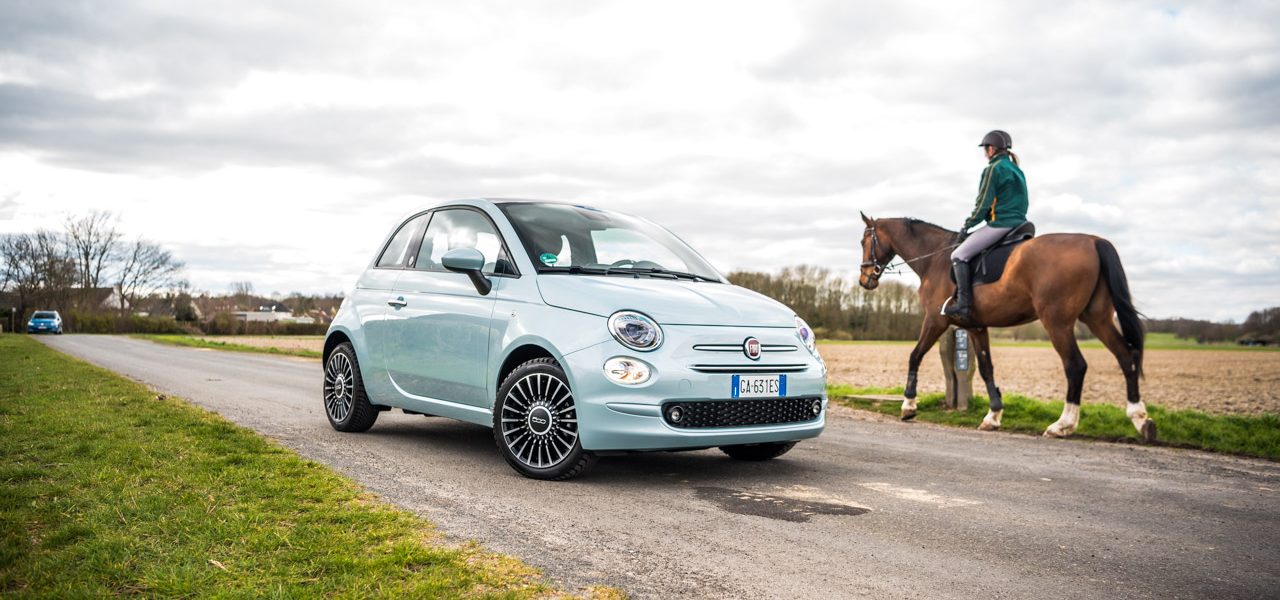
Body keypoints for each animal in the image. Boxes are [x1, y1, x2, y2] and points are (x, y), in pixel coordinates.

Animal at [855, 212, 1157, 437]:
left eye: (863, 240)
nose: (865, 279)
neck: (935, 257)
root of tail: (1094, 241)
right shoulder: (976, 327)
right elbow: (987, 368)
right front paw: (993, 415)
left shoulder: (935, 320)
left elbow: (914, 355)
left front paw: (908, 405)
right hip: (1097, 318)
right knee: (1126, 356)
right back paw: (1140, 419)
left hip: (1057, 322)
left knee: (1076, 366)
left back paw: (1063, 424)